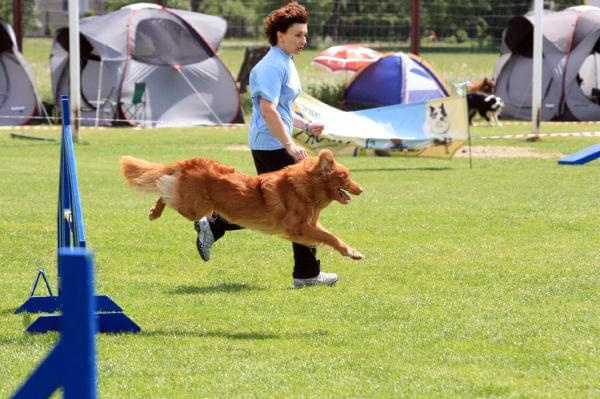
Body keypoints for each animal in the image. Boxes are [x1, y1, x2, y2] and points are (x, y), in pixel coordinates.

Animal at [119, 150, 364, 260]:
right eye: (344, 177)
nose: (361, 189)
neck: (305, 186)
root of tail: (192, 161)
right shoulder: (298, 227)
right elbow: (330, 237)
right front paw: (351, 252)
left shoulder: (310, 225)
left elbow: (332, 236)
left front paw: (350, 250)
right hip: (194, 207)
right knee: (163, 189)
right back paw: (155, 211)